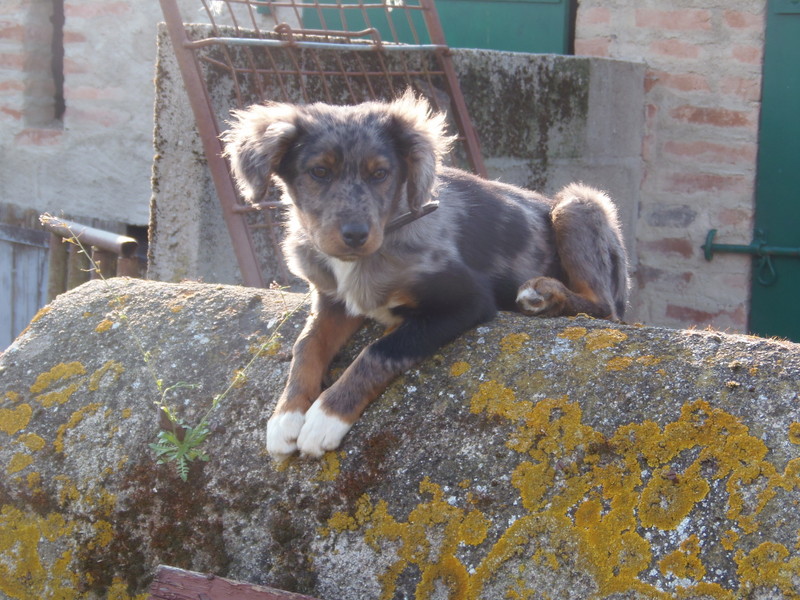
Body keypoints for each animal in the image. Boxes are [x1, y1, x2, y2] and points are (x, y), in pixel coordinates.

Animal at [222, 91, 628, 460]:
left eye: (380, 173)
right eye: (319, 172)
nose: (355, 234)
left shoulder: (467, 300)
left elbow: (380, 350)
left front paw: (324, 417)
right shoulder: (333, 299)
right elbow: (305, 345)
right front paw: (286, 416)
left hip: (577, 205)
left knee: (603, 308)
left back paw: (543, 295)